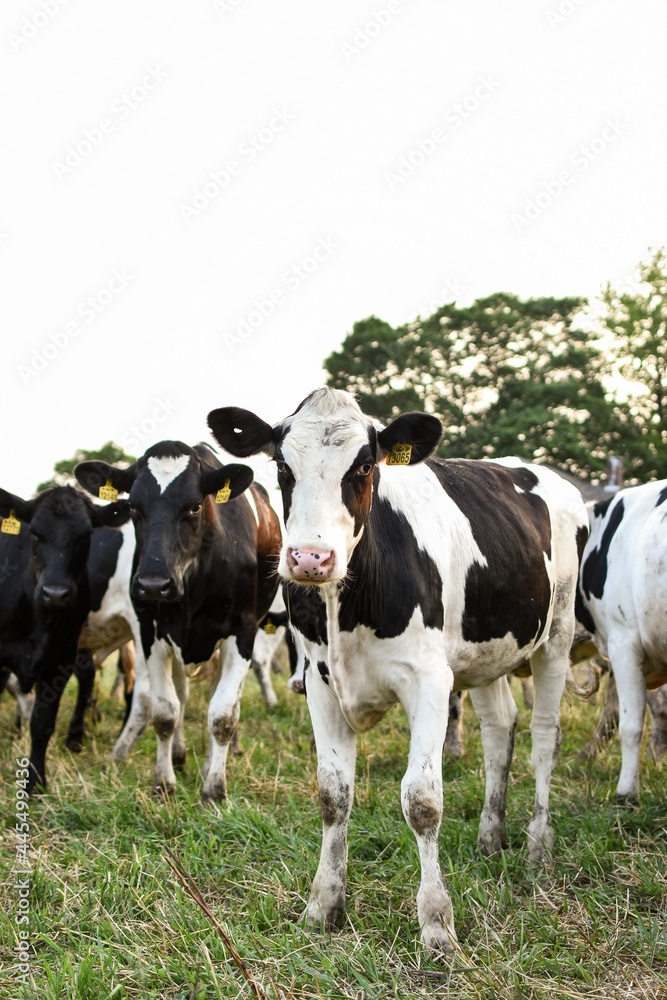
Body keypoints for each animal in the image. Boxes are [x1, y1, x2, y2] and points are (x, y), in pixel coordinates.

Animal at [75, 442, 282, 800]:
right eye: (133, 506)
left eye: (195, 506)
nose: (153, 584)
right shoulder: (151, 633)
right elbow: (165, 712)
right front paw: (164, 782)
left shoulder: (243, 633)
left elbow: (223, 715)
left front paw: (214, 790)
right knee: (182, 697)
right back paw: (180, 755)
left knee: (222, 700)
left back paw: (211, 763)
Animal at [210, 388, 588, 952]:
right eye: (280, 464)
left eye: (365, 465)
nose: (310, 558)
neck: (347, 604)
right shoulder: (320, 683)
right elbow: (332, 794)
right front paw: (323, 905)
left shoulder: (428, 680)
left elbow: (422, 800)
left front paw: (437, 924)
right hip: (485, 651)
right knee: (500, 728)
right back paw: (490, 835)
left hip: (557, 633)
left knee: (545, 735)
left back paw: (538, 847)